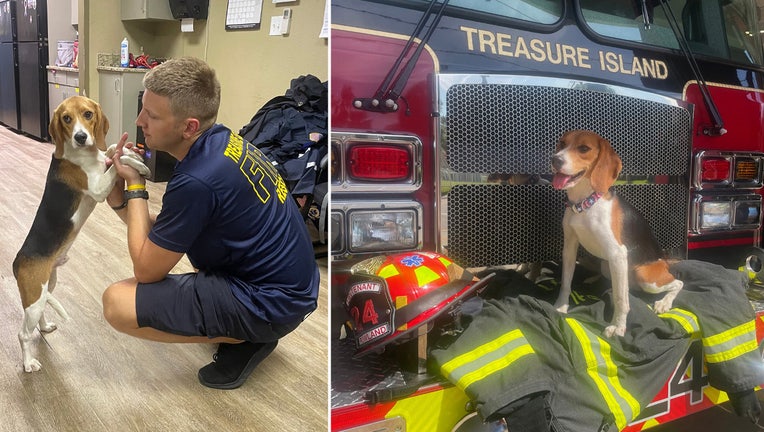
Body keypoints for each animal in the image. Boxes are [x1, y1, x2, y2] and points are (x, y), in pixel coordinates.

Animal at [13, 95, 150, 372]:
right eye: (66, 118)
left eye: (88, 114)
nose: (80, 137)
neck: (83, 154)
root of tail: (16, 262)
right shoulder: (97, 189)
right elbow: (116, 162)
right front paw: (131, 160)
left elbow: (112, 151)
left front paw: (133, 155)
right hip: (34, 296)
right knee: (23, 334)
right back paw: (29, 362)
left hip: (47, 286)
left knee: (40, 314)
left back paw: (45, 326)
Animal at [552, 130, 684, 340]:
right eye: (562, 143)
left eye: (584, 148)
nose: (555, 159)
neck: (586, 204)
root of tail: (664, 260)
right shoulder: (570, 247)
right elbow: (566, 282)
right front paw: (561, 307)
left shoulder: (618, 254)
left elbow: (621, 299)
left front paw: (617, 326)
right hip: (608, 266)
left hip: (645, 276)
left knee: (678, 282)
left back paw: (664, 302)